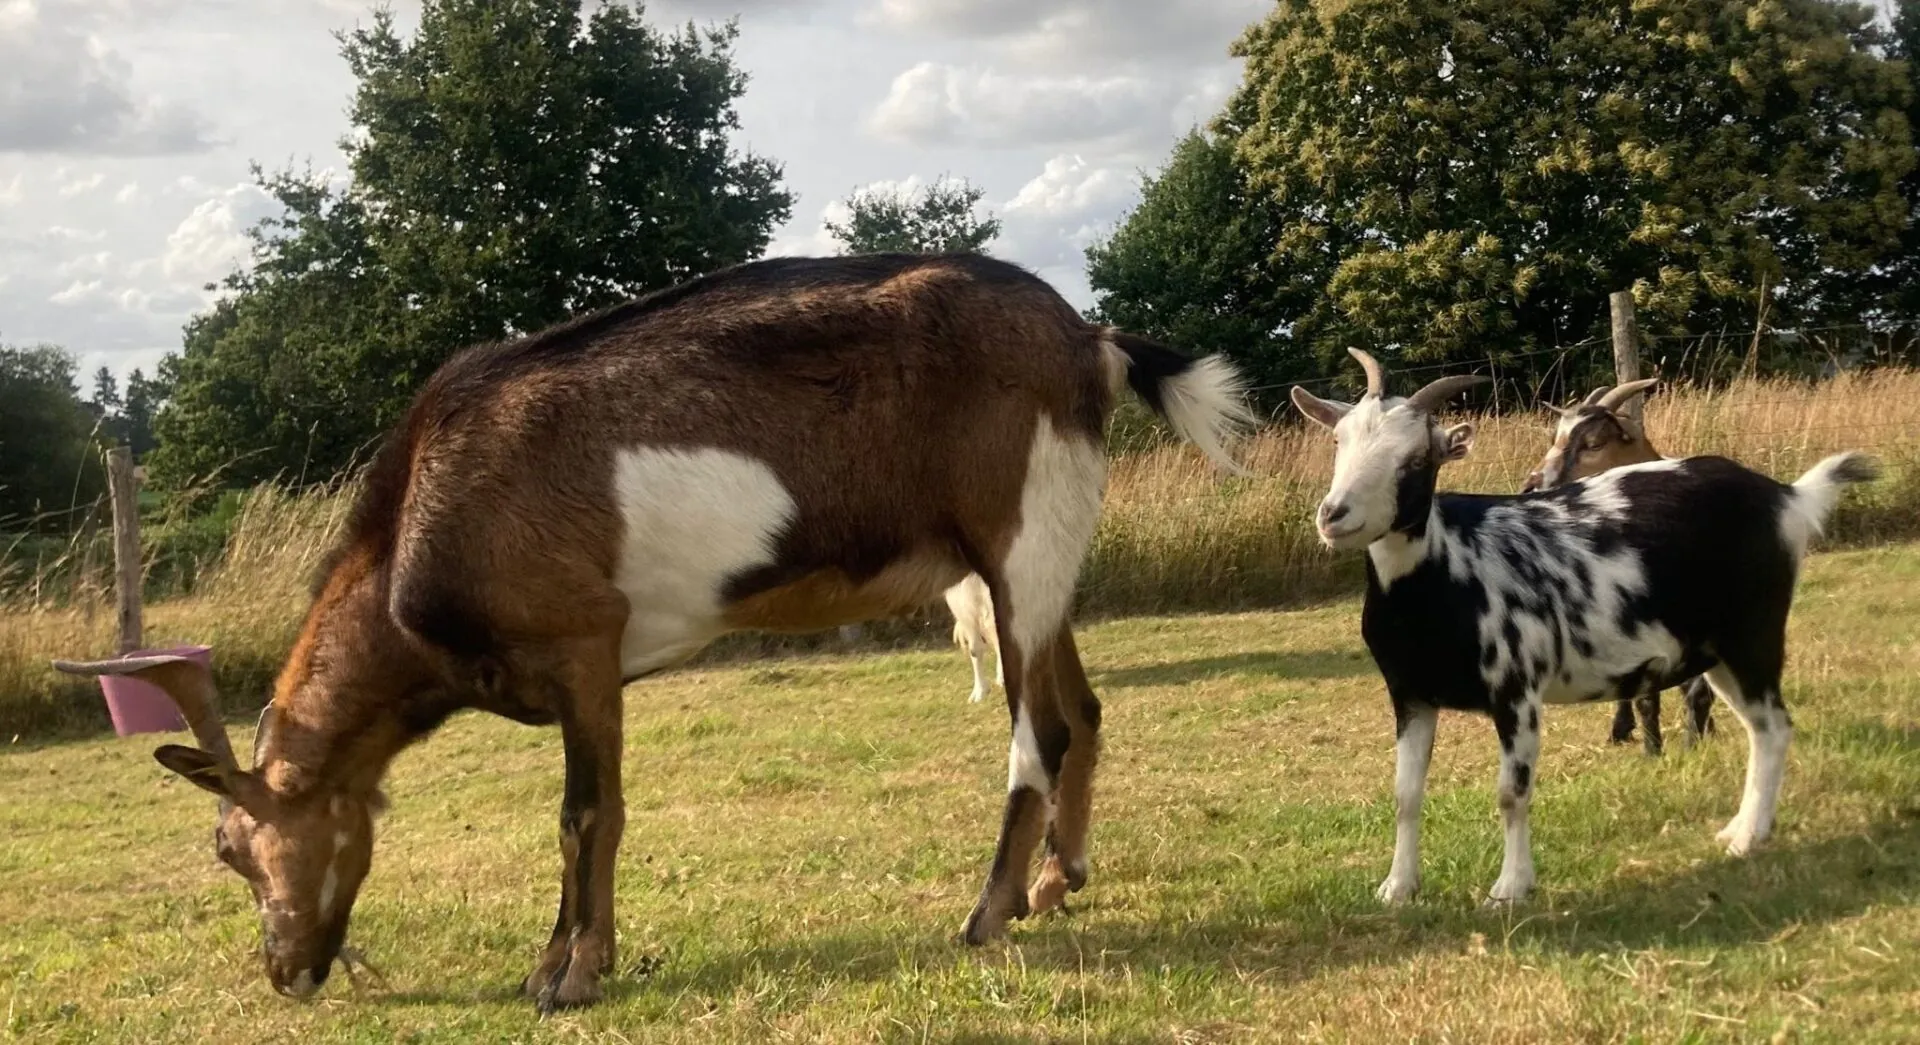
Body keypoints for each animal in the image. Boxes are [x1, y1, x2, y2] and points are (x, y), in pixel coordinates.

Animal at [52, 253, 1251, 1014]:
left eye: (231, 847)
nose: (287, 972)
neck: (419, 532)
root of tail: (1090, 340)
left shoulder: (584, 645)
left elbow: (586, 815)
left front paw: (567, 977)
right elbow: (591, 821)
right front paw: (571, 962)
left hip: (1022, 531)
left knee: (1034, 735)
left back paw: (987, 913)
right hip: (1037, 562)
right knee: (1081, 707)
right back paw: (1057, 881)